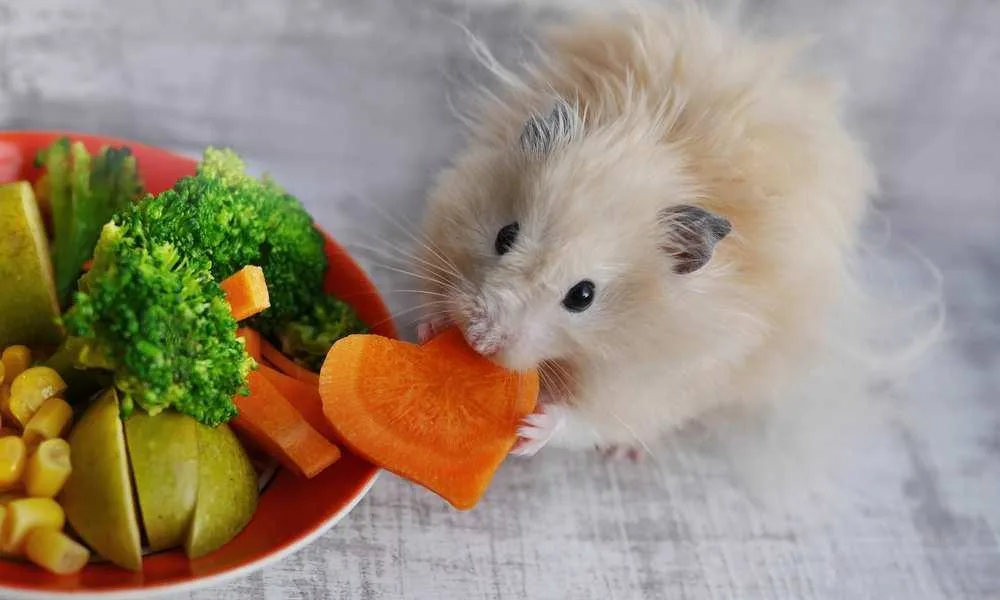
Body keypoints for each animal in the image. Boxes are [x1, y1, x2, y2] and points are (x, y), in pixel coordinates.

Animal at [415, 3, 875, 457]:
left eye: (582, 296)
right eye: (504, 236)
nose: (479, 340)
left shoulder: (653, 384)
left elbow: (590, 421)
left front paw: (531, 429)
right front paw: (431, 327)